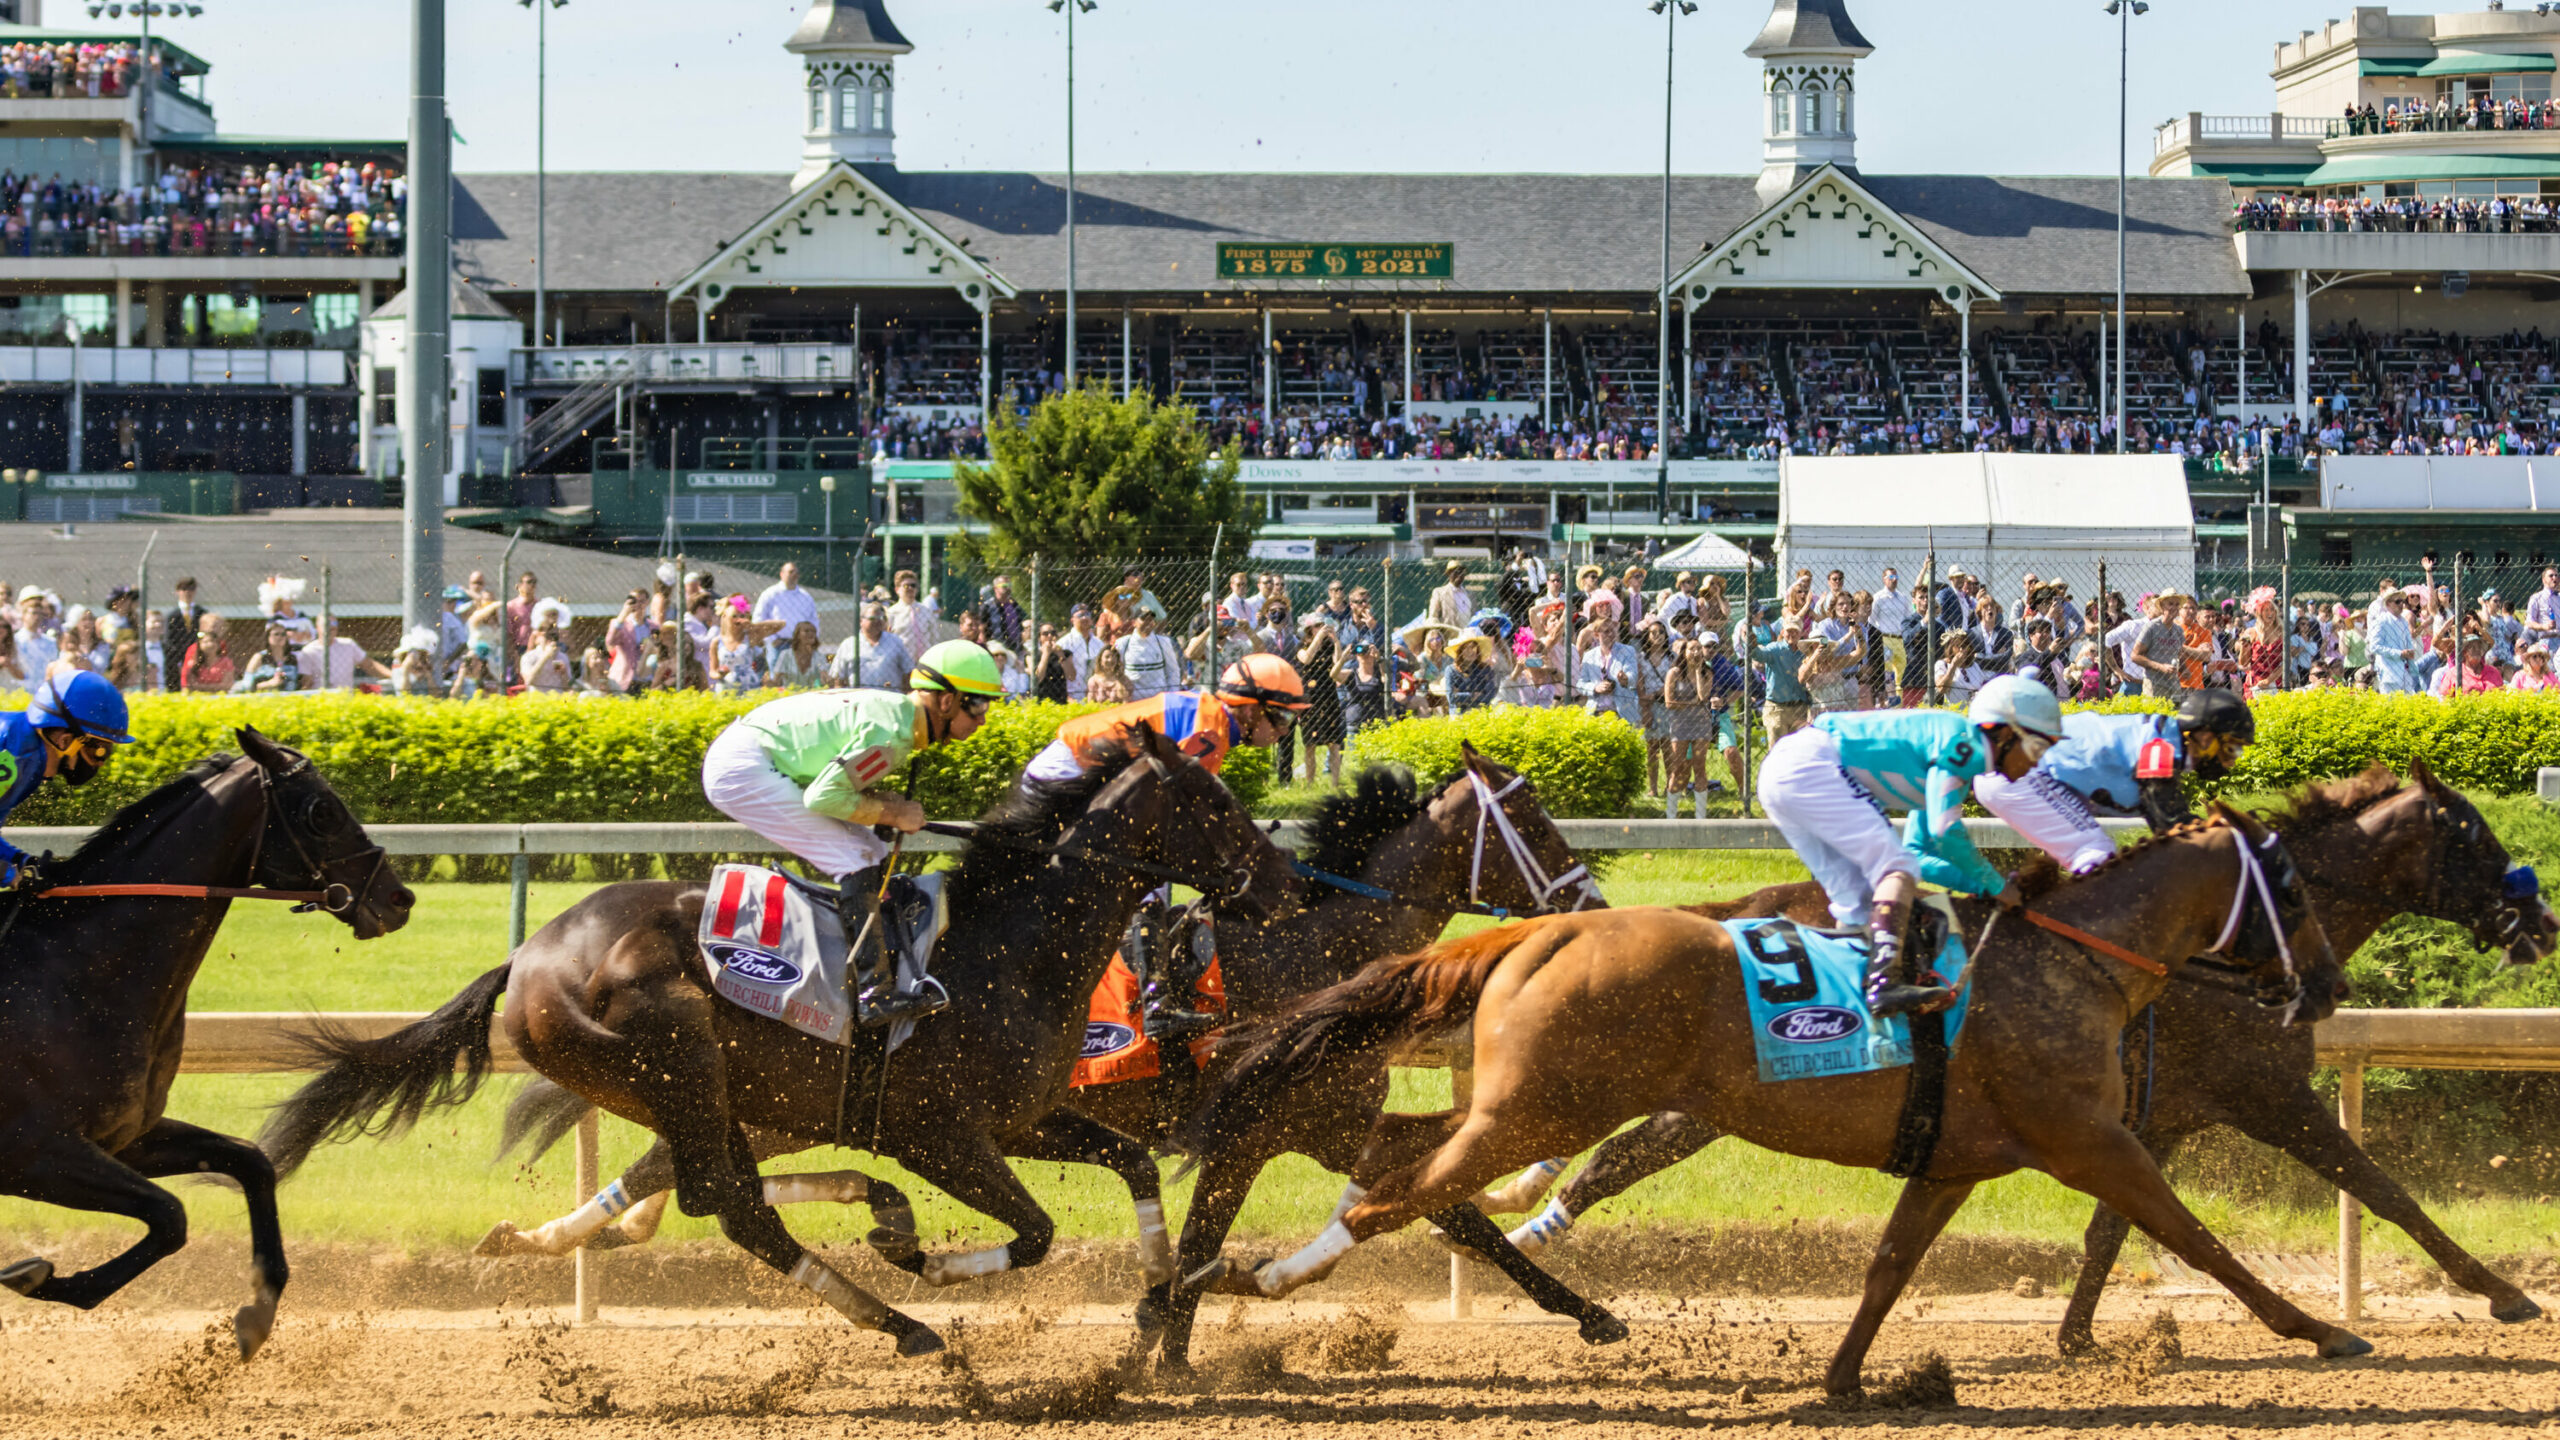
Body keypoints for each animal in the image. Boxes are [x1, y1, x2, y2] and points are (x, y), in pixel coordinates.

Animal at [0, 727, 414, 1352]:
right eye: (322, 811)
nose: (398, 899)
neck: (74, 974)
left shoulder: (123, 1138)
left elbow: (250, 1161)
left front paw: (259, 1308)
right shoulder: (32, 1153)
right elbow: (171, 1217)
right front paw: (32, 1273)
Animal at [1187, 799, 2365, 1383]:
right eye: (2294, 887)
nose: (2328, 986)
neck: (2075, 963)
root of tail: (1539, 930)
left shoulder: (1954, 1159)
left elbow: (1889, 1266)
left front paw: (1844, 1376)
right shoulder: (2089, 1139)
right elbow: (2197, 1239)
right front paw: (2321, 1333)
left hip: (1526, 1101)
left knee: (1402, 1150)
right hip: (1550, 1103)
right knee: (1405, 1187)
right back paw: (1256, 1276)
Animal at [1474, 763, 2549, 1342]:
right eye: (2475, 835)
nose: (2538, 919)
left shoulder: (2148, 1115)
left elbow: (2121, 1227)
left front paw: (2077, 1332)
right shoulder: (2268, 1094)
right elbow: (2386, 1191)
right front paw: (2503, 1294)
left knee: (1623, 1149)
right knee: (1620, 1153)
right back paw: (1530, 1232)